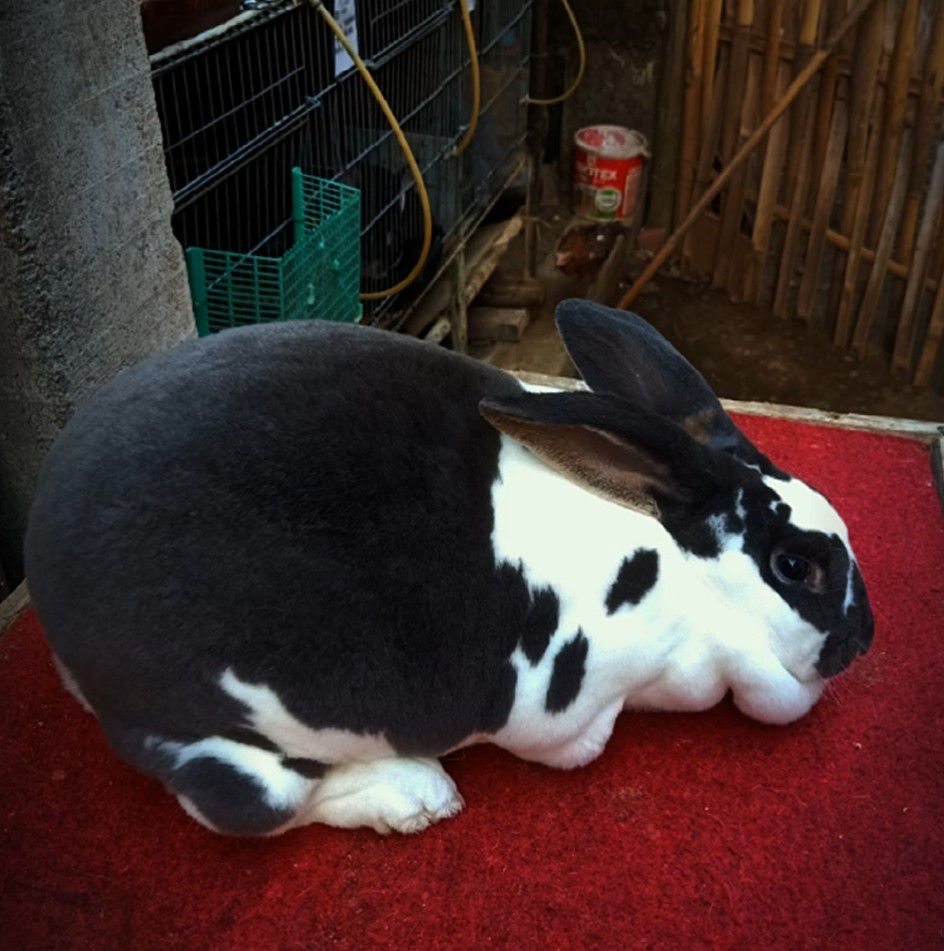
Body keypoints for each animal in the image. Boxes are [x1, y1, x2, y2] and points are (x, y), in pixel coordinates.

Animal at [24, 300, 873, 838]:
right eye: (795, 565)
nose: (862, 636)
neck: (674, 571)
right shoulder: (567, 716)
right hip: (232, 735)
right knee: (249, 805)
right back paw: (415, 796)